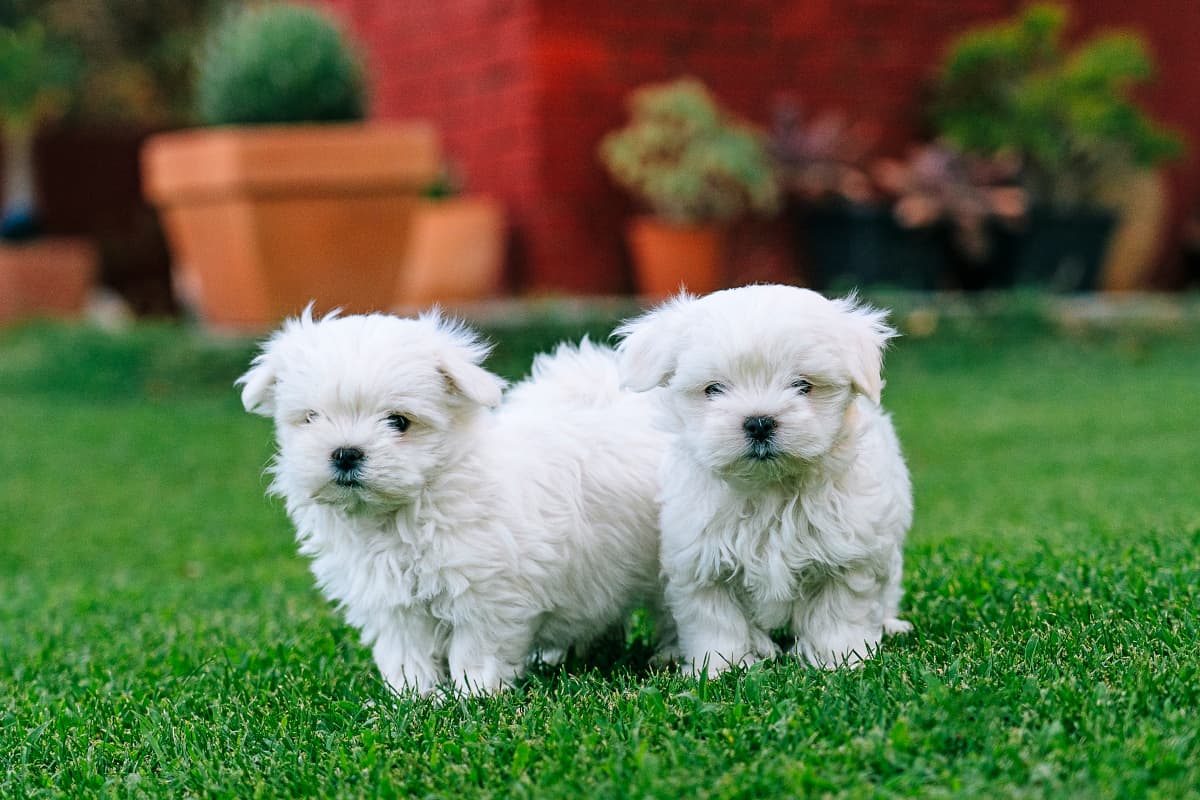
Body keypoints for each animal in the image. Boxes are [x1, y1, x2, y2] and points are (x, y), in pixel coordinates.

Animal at [234, 309, 667, 695]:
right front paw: (414, 697)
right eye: (311, 418)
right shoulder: (393, 604)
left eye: (399, 422)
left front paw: (474, 695)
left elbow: (475, 649)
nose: (345, 453)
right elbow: (406, 652)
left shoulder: (485, 593)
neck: (410, 507)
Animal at [619, 287, 907, 676]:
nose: (758, 422)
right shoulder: (701, 560)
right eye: (713, 389)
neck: (769, 487)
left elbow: (838, 612)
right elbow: (716, 621)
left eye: (803, 385)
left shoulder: (848, 552)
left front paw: (841, 660)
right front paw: (719, 668)